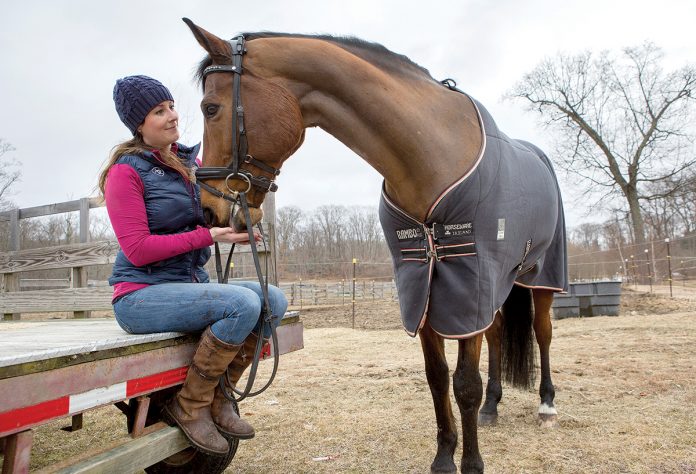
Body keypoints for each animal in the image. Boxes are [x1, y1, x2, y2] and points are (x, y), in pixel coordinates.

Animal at [184, 16, 564, 472]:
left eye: (210, 108)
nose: (209, 212)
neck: (432, 155)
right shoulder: (423, 286)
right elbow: (438, 378)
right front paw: (443, 457)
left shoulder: (467, 279)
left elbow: (464, 384)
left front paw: (471, 464)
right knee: (497, 333)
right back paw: (493, 407)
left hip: (540, 275)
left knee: (543, 333)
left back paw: (546, 404)